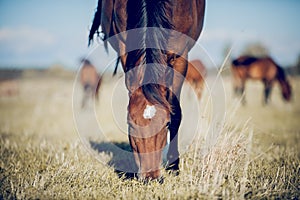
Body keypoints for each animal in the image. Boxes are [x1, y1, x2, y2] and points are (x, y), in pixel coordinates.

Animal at [89, 0, 206, 180]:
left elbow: (176, 112)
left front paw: (173, 165)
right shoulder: (125, 47)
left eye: (166, 124)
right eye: (130, 125)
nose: (151, 177)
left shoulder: (181, 55)